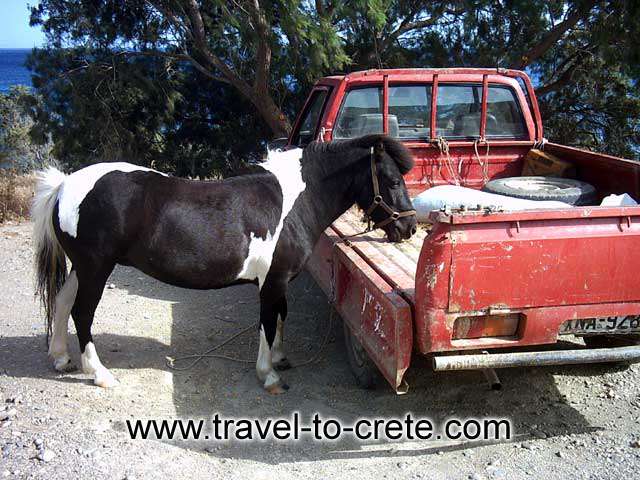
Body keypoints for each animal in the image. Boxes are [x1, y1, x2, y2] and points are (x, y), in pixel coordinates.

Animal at [32, 134, 418, 394]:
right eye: (392, 180)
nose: (410, 227)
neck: (294, 201)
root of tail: (65, 184)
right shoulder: (272, 280)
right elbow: (267, 322)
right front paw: (269, 375)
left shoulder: (279, 280)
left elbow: (281, 316)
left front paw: (280, 358)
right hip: (96, 268)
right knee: (82, 313)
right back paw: (100, 374)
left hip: (83, 268)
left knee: (63, 304)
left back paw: (61, 358)